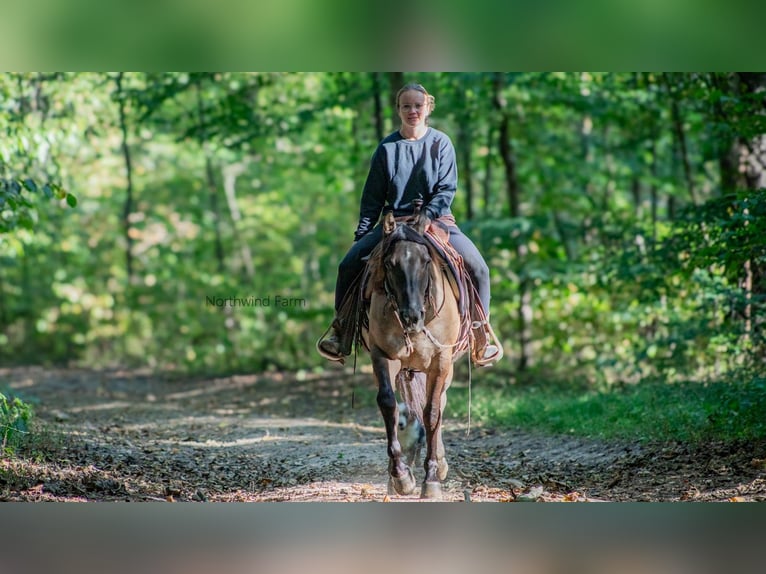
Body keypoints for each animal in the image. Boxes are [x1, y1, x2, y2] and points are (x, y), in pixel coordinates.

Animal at [362, 207, 474, 500]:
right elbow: (388, 403)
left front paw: (431, 479)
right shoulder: (382, 355)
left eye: (425, 261)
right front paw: (400, 476)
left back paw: (441, 464)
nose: (412, 316)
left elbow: (432, 412)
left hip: (446, 369)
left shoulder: (441, 361)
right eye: (390, 264)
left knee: (440, 404)